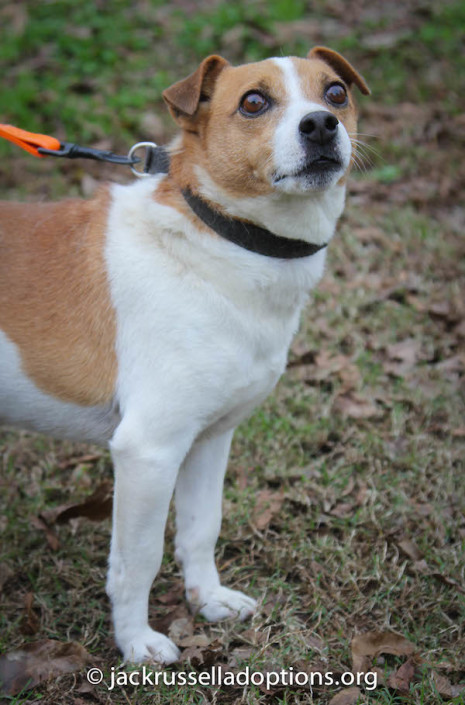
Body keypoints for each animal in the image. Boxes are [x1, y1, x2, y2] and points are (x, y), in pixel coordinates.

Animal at [0, 46, 370, 664]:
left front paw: (207, 600)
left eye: (336, 92)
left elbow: (200, 528)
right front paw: (136, 643)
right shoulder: (148, 452)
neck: (221, 238)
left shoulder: (209, 438)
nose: (320, 124)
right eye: (254, 102)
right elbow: (137, 561)